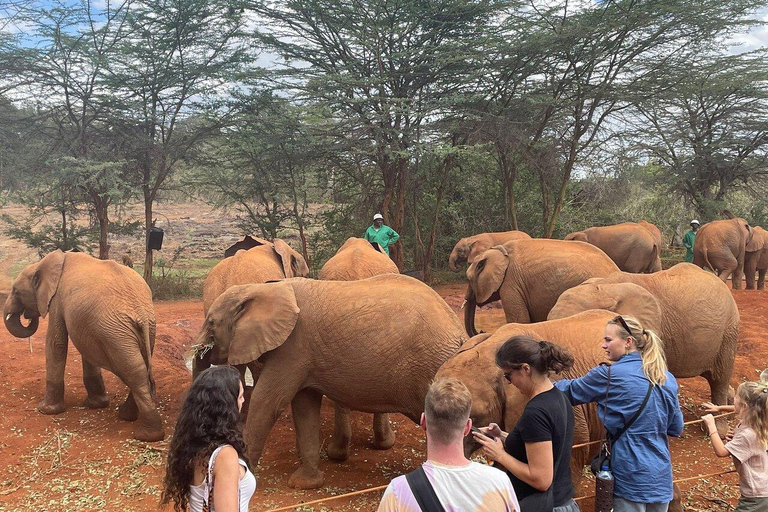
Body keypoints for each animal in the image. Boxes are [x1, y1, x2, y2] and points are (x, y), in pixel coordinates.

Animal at [3, 251, 163, 440]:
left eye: (15, 291)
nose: (28, 315)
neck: (48, 262)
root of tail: (140, 312)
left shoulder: (57, 299)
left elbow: (56, 343)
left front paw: (46, 410)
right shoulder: (87, 323)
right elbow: (85, 349)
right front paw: (95, 405)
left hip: (117, 334)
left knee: (133, 373)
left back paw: (145, 435)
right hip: (141, 330)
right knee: (141, 369)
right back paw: (129, 418)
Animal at [195, 274, 464, 490]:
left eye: (211, 322)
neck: (264, 289)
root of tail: (458, 329)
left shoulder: (293, 348)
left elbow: (268, 402)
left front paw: (243, 477)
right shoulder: (303, 355)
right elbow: (304, 407)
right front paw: (305, 484)